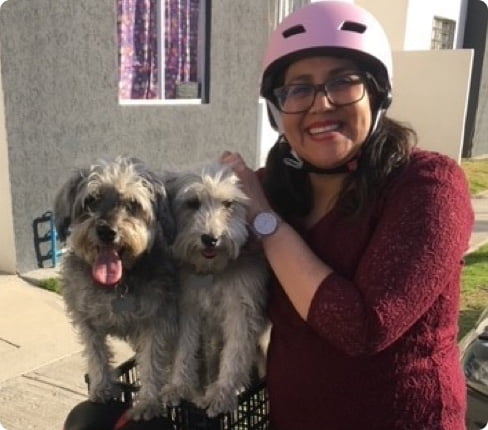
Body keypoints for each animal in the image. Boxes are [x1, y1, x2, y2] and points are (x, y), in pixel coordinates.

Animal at [53, 157, 179, 420]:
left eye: (132, 204)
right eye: (91, 200)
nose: (106, 231)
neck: (117, 284)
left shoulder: (158, 322)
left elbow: (152, 362)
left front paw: (148, 402)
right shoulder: (85, 319)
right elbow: (96, 352)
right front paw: (101, 387)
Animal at [161, 161, 268, 416]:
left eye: (229, 204)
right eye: (192, 203)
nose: (211, 239)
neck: (215, 272)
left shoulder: (241, 310)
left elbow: (235, 353)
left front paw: (222, 392)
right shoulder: (189, 307)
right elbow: (185, 348)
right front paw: (179, 385)